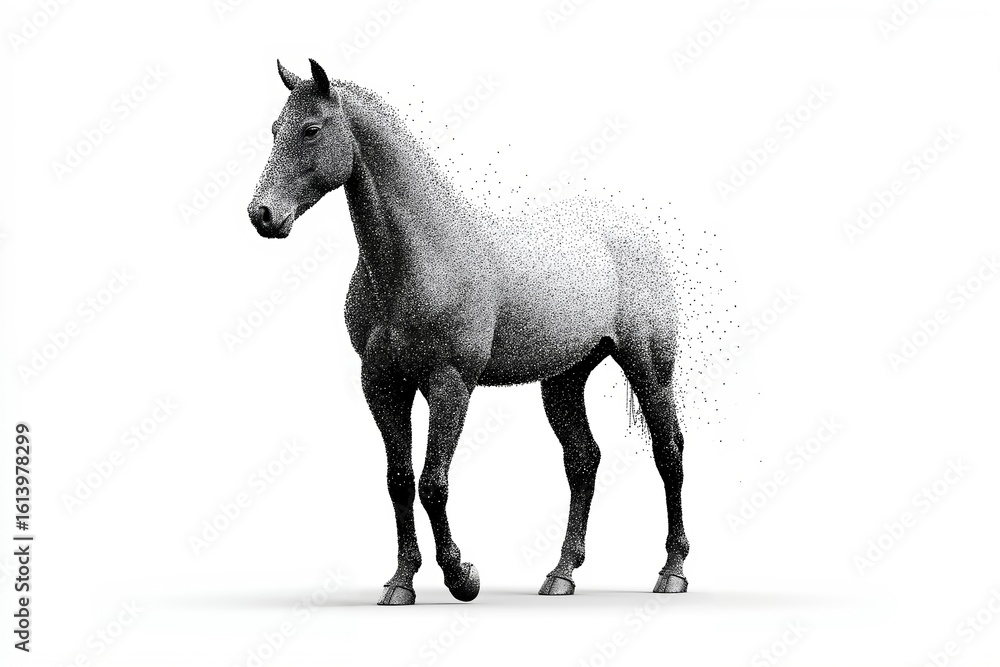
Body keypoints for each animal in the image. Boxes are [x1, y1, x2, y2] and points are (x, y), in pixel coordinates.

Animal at [248, 59, 690, 605]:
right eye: (274, 129)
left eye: (311, 129)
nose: (262, 214)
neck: (424, 253)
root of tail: (633, 231)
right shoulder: (382, 385)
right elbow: (399, 481)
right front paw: (401, 582)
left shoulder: (449, 383)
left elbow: (432, 483)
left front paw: (462, 576)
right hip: (563, 379)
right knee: (583, 461)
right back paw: (561, 574)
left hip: (648, 368)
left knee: (668, 453)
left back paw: (672, 571)